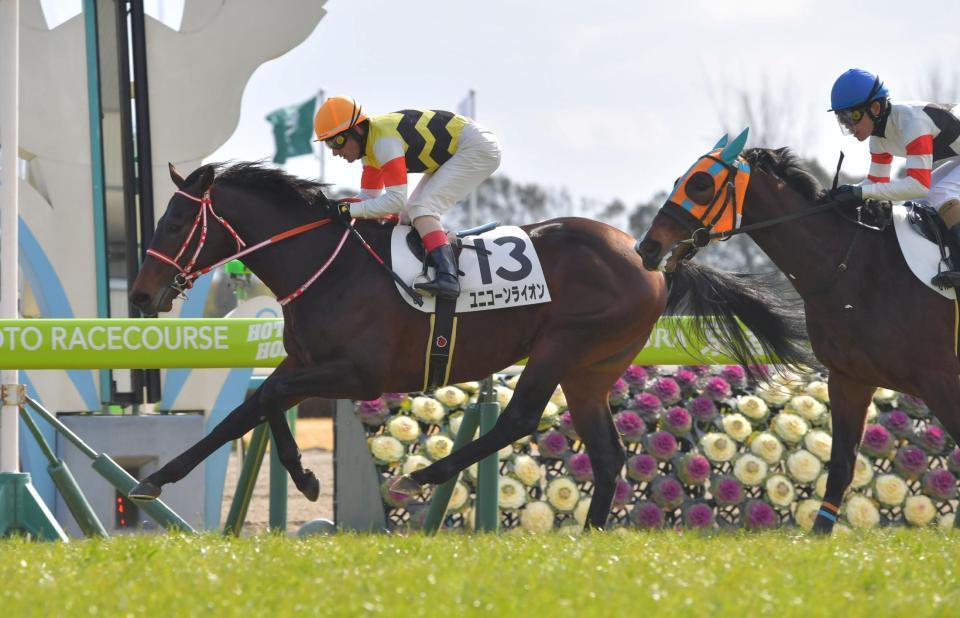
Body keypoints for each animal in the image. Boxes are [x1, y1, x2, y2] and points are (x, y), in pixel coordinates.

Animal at [128, 160, 810, 530]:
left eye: (175, 222)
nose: (140, 295)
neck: (326, 265)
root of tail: (653, 262)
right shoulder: (307, 363)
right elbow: (256, 406)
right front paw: (298, 477)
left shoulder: (358, 373)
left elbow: (259, 403)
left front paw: (161, 478)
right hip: (591, 369)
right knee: (608, 454)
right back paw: (588, 535)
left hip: (563, 345)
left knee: (520, 417)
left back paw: (422, 476)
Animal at [636, 131, 960, 533]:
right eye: (681, 180)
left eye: (700, 184)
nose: (648, 246)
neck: (858, 267)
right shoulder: (850, 379)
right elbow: (840, 468)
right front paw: (819, 533)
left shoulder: (941, 379)